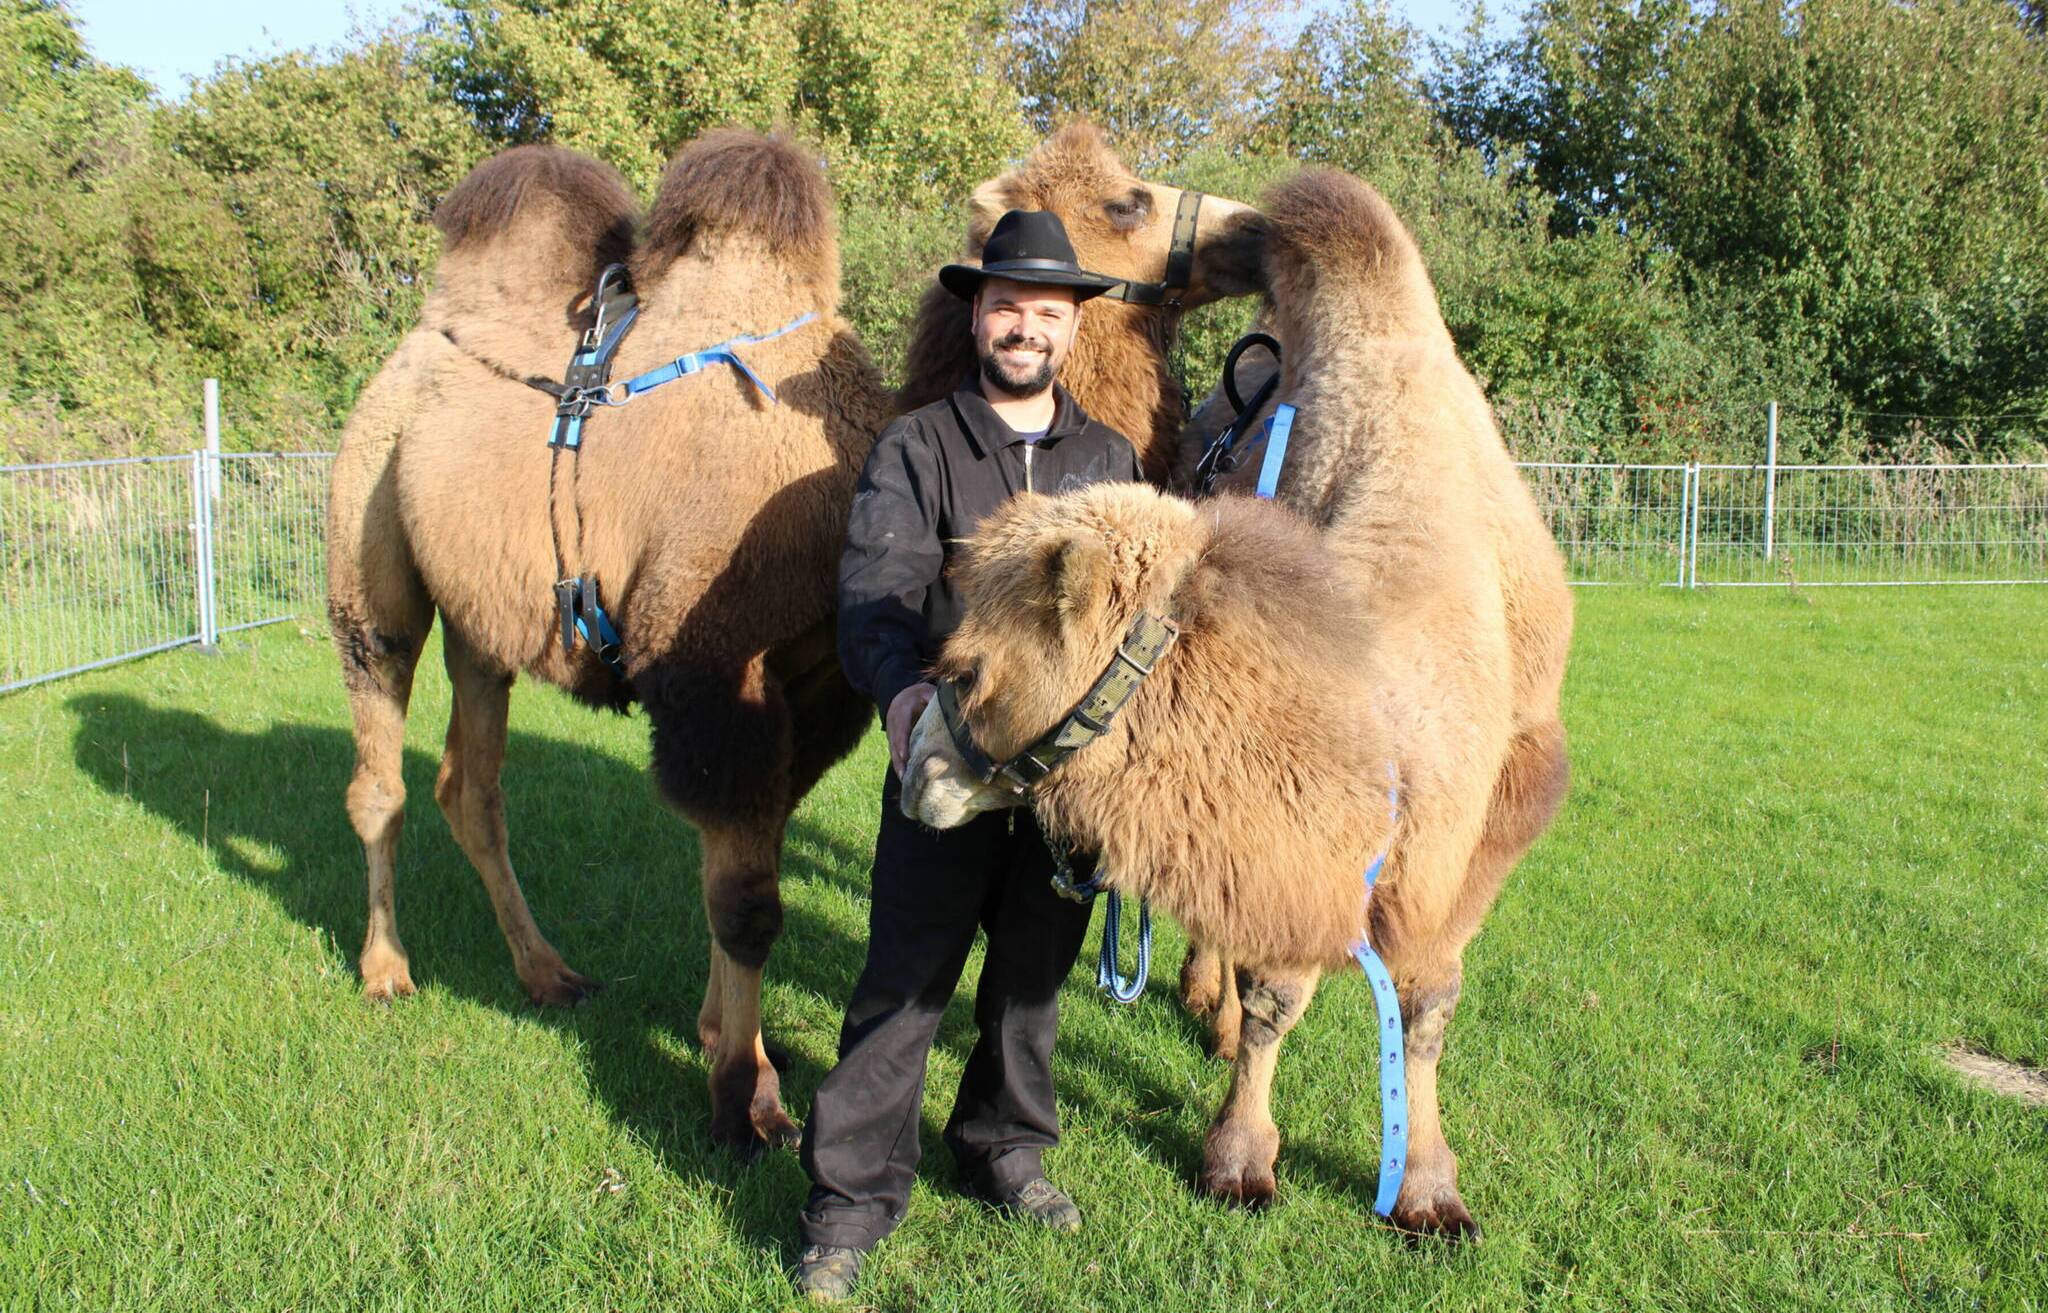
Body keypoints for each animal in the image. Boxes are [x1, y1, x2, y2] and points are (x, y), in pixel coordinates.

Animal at [323, 122, 1261, 1147]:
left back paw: (547, 973)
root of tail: (414, 347)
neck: (841, 492)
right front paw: (748, 1097)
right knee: (380, 764)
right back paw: (385, 970)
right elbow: (746, 903)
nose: (1256, 228)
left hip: (482, 624)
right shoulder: (716, 677)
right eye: (1128, 201)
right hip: (367, 556)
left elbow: (750, 861)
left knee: (472, 785)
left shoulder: (818, 698)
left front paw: (716, 1034)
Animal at [905, 168, 1572, 1237]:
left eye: (970, 670)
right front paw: (1240, 1156)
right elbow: (1276, 993)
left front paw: (1428, 1186)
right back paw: (1201, 1000)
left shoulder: (1495, 814)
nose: (918, 765)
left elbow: (1428, 1002)